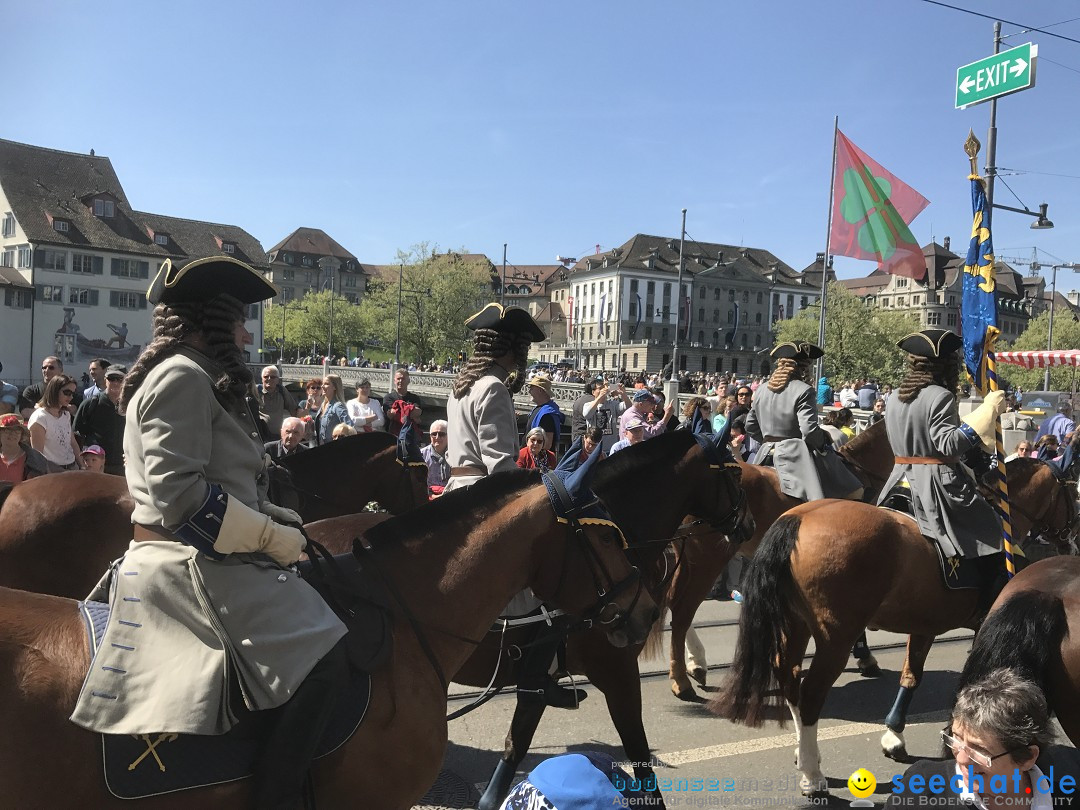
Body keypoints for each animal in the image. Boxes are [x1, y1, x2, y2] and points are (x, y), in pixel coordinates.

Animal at [665, 419, 894, 699]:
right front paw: (865, 657)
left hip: (687, 559)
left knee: (673, 603)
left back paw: (695, 664)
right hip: (707, 561)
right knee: (683, 610)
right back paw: (682, 680)